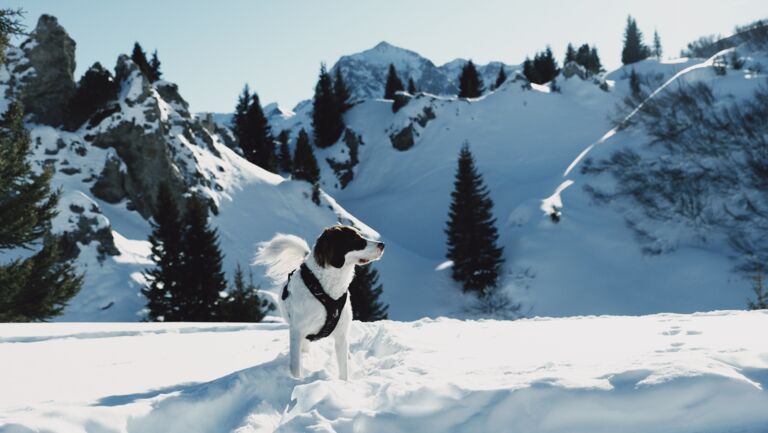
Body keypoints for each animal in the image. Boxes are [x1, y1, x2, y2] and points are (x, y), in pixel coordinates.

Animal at [255, 224, 384, 380]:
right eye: (355, 239)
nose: (382, 244)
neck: (326, 288)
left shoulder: (341, 335)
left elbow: (343, 369)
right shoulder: (297, 331)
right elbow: (295, 366)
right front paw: (296, 381)